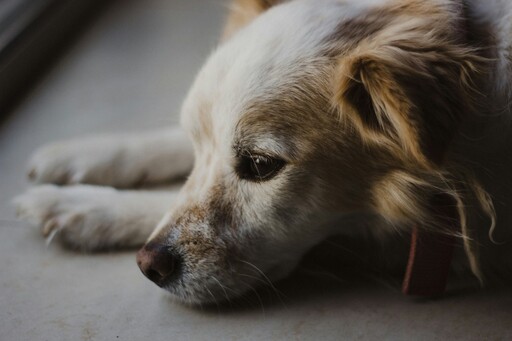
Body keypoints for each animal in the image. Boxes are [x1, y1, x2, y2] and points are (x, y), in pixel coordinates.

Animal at [14, 0, 512, 302]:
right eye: (197, 139)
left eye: (259, 165)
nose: (148, 266)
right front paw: (88, 154)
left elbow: (161, 201)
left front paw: (82, 208)